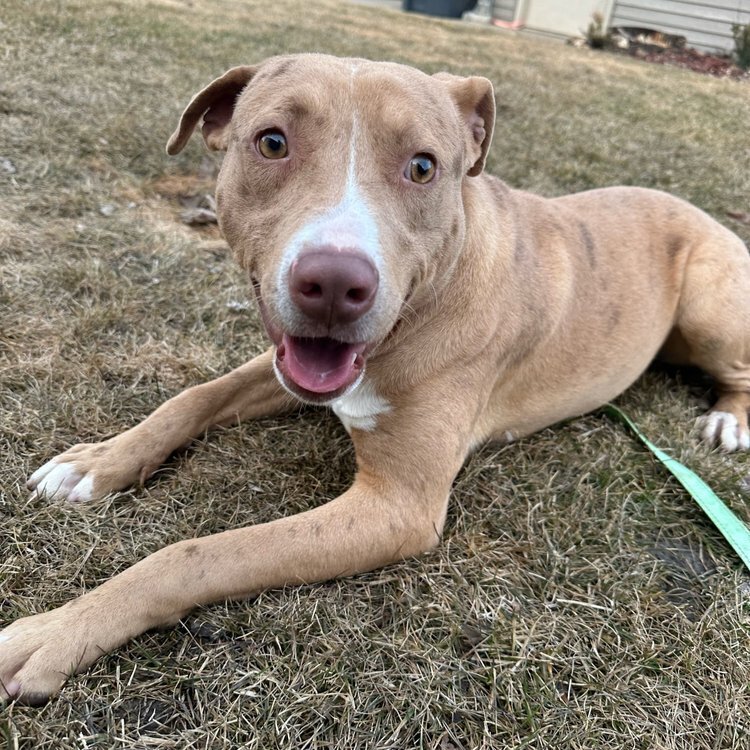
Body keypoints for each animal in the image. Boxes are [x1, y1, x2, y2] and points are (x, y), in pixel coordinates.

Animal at [4, 55, 750, 708]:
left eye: (423, 166)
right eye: (271, 142)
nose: (335, 283)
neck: (420, 311)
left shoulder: (396, 507)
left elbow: (195, 554)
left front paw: (57, 631)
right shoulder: (294, 369)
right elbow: (190, 397)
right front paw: (96, 463)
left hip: (709, 305)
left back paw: (729, 419)